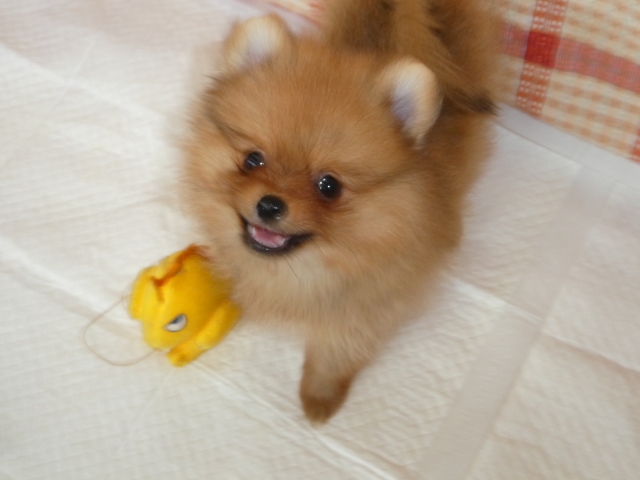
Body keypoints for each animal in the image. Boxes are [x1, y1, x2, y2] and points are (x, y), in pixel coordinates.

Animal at [181, 0, 499, 423]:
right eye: (252, 160)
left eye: (329, 186)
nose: (269, 204)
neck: (308, 269)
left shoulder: (364, 312)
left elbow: (335, 356)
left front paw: (319, 399)